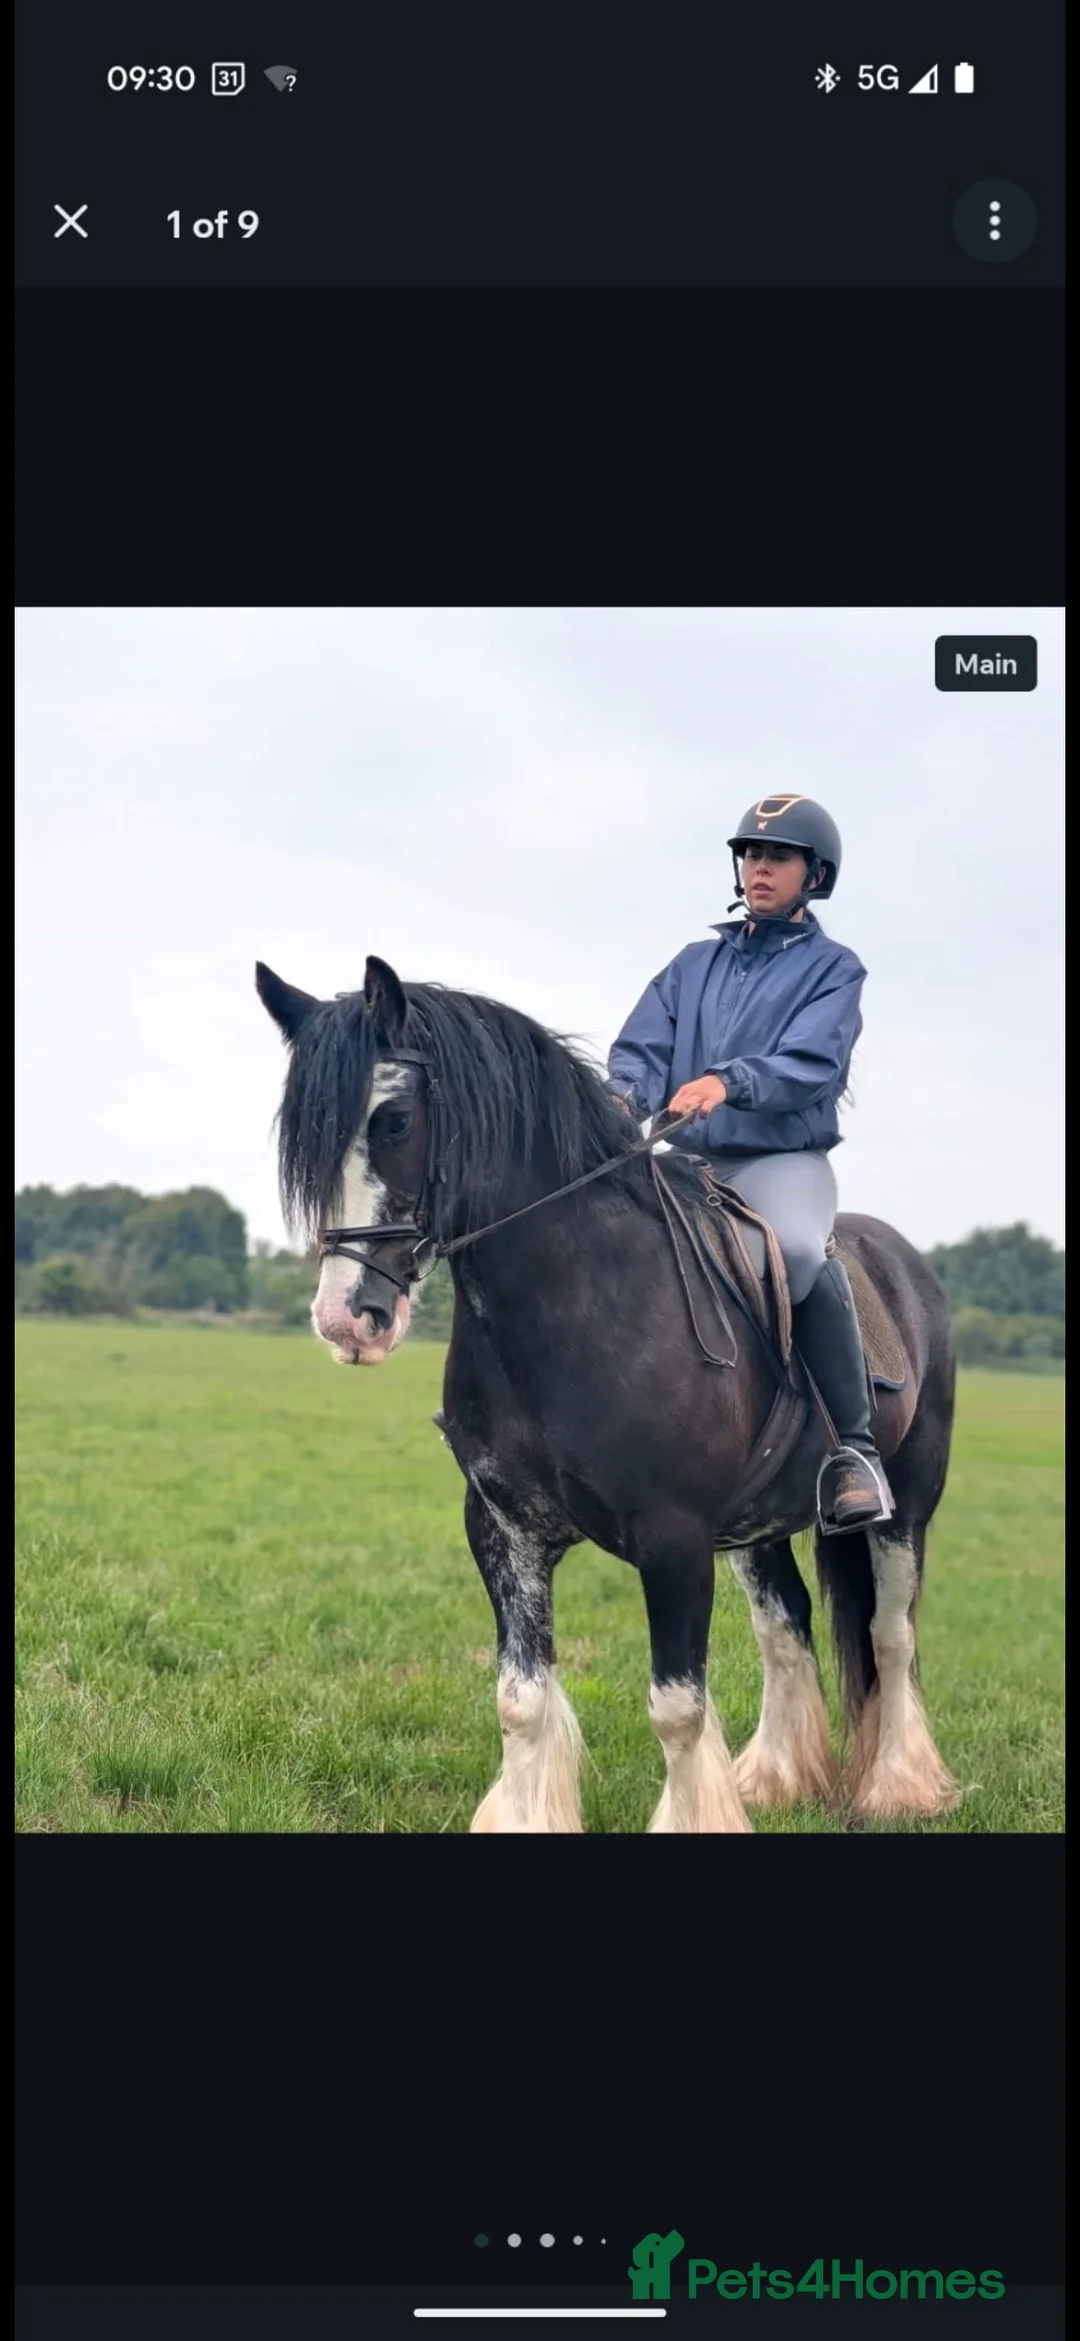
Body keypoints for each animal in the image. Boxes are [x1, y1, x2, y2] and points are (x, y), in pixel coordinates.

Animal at [256, 952, 960, 1834]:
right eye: (305, 1138)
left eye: (393, 1119)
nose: (347, 1318)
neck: (578, 1300)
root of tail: (904, 1261)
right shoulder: (506, 1530)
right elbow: (521, 1698)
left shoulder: (673, 1539)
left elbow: (677, 1707)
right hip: (757, 1526)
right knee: (786, 1626)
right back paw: (775, 1777)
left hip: (906, 1504)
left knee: (891, 1632)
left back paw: (899, 1785)